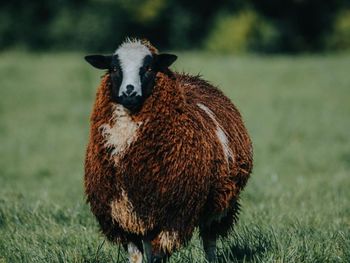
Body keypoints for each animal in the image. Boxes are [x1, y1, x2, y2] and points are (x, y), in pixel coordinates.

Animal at [83, 38, 253, 262]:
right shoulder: (123, 215)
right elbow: (137, 256)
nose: (129, 92)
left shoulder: (174, 215)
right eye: (114, 68)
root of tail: (191, 78)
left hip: (218, 203)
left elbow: (158, 255)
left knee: (209, 240)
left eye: (148, 67)